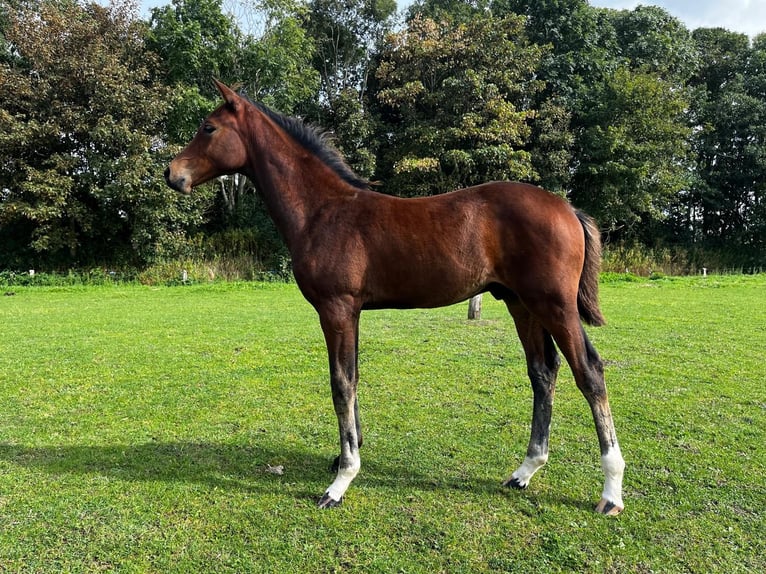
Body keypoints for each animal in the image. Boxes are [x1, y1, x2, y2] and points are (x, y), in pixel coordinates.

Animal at [165, 79, 628, 516]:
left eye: (209, 127)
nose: (172, 174)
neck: (322, 211)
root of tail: (568, 209)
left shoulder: (336, 308)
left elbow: (341, 383)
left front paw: (341, 481)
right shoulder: (352, 312)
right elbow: (353, 378)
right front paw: (345, 457)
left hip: (554, 304)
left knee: (589, 372)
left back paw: (610, 492)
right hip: (520, 303)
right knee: (543, 372)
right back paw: (524, 472)